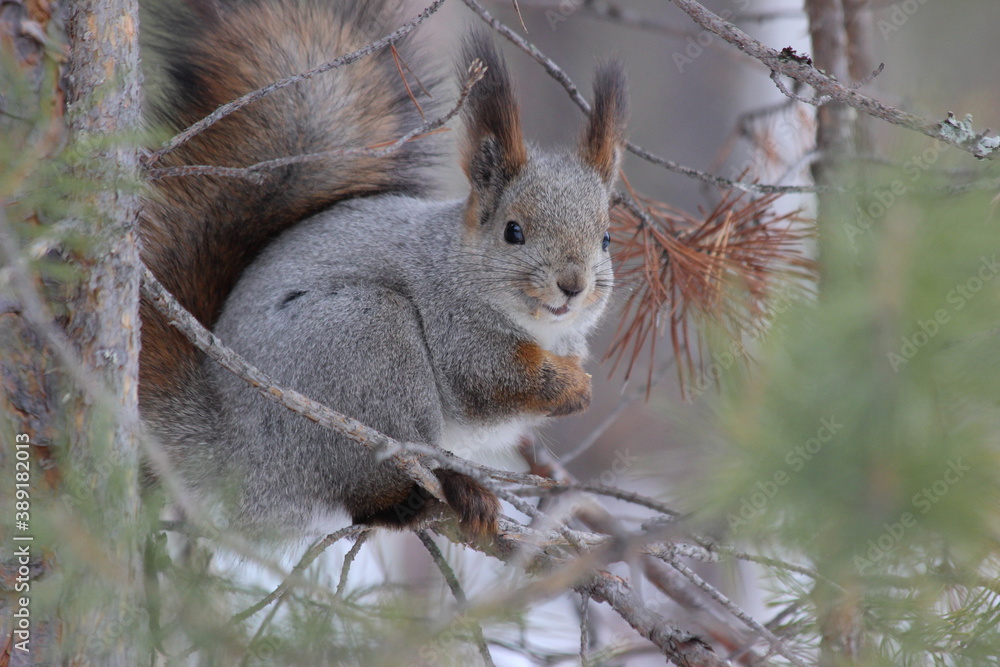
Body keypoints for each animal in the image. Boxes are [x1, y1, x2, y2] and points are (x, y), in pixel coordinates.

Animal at [139, 0, 628, 539]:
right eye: (513, 232)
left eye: (606, 238)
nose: (572, 285)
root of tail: (235, 450)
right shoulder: (455, 329)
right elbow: (491, 380)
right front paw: (571, 387)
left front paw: (577, 385)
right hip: (367, 344)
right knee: (368, 486)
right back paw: (448, 489)